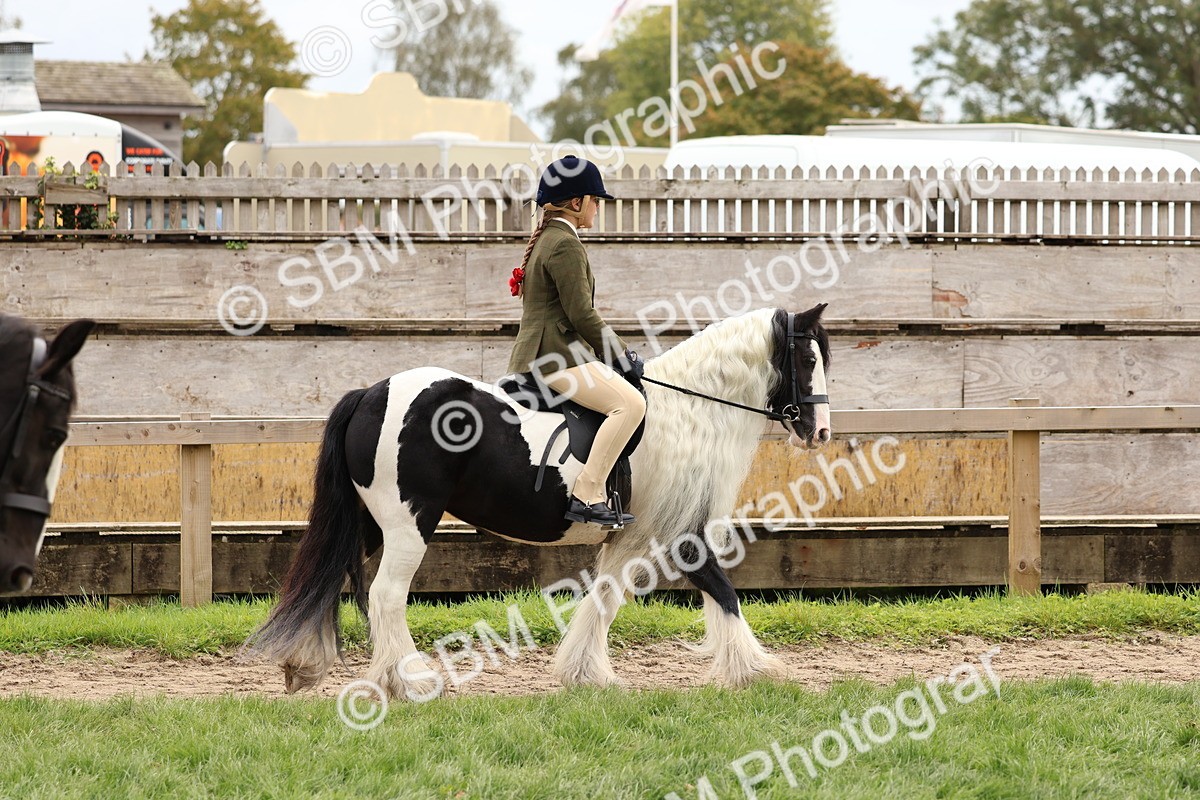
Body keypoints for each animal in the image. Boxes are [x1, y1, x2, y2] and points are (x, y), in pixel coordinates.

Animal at [249, 304, 831, 698]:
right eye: (806, 358)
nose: (821, 432)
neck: (688, 411)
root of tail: (371, 392)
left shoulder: (634, 535)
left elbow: (605, 598)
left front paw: (584, 673)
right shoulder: (681, 535)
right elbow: (724, 592)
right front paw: (759, 670)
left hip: (371, 522)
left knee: (332, 579)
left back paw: (312, 668)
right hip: (410, 524)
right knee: (386, 596)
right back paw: (412, 682)